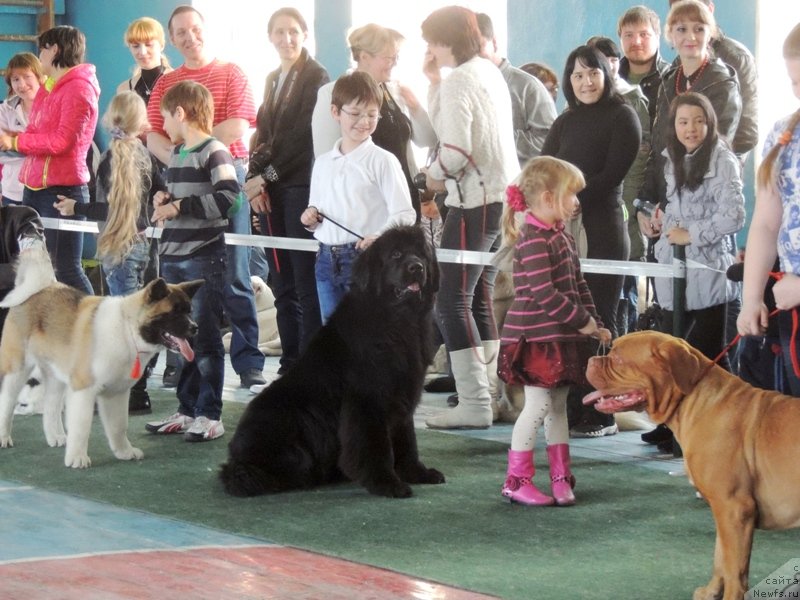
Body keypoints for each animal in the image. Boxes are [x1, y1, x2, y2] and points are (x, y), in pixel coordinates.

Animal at [0, 248, 203, 468]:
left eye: (189, 311)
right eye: (173, 313)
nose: (195, 327)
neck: (127, 330)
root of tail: (39, 289)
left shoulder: (116, 393)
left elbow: (118, 427)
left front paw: (124, 452)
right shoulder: (83, 390)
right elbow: (81, 427)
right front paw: (77, 458)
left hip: (55, 376)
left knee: (51, 406)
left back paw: (56, 437)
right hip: (17, 370)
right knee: (7, 402)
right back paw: (4, 437)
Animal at [220, 225, 444, 496]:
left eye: (421, 254)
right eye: (396, 254)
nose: (417, 267)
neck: (399, 323)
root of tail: (235, 459)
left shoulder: (402, 393)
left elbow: (407, 441)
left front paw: (418, 473)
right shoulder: (367, 400)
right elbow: (376, 446)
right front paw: (386, 483)